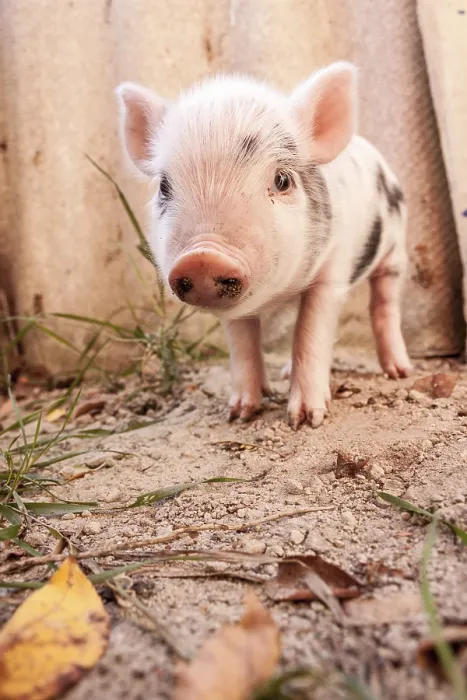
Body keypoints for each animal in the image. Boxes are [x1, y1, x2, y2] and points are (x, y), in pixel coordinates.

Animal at [115, 62, 411, 430]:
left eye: (282, 180)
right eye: (164, 187)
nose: (203, 257)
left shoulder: (333, 273)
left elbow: (311, 332)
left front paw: (305, 420)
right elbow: (243, 344)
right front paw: (239, 414)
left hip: (396, 249)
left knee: (384, 304)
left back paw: (399, 372)